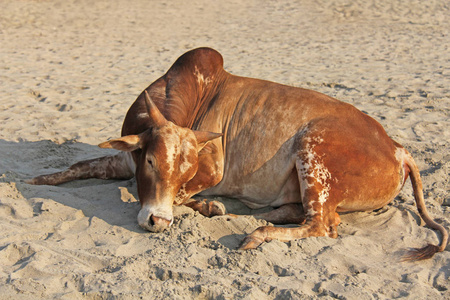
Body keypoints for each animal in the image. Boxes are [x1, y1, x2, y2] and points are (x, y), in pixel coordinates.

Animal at [28, 47, 446, 260]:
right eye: (149, 161)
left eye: (185, 171)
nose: (157, 222)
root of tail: (398, 148)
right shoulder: (126, 155)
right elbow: (81, 165)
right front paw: (39, 178)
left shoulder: (211, 169)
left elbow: (184, 196)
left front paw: (208, 206)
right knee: (304, 214)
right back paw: (263, 214)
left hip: (313, 147)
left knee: (322, 224)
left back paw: (257, 232)